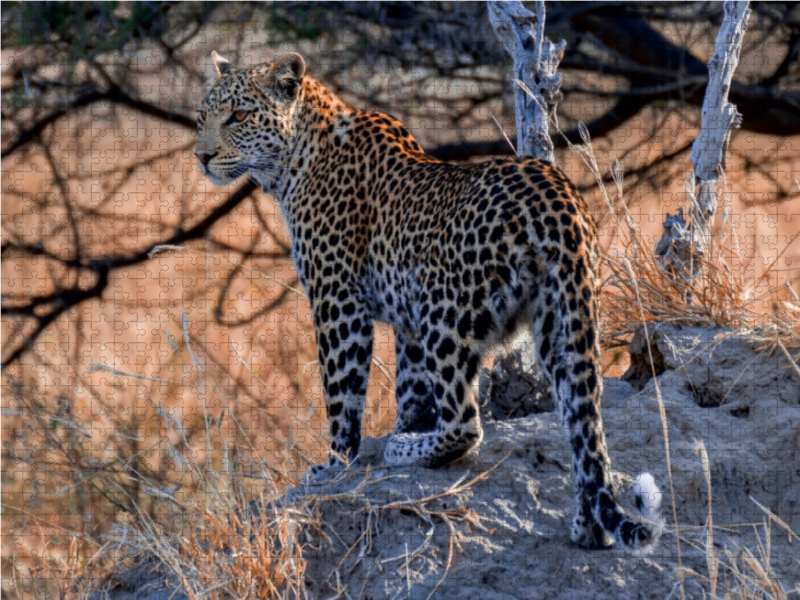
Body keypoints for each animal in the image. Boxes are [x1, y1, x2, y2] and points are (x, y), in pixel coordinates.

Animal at [195, 51, 664, 548]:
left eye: (238, 116)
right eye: (202, 117)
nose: (201, 157)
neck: (292, 163)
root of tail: (558, 200)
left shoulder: (338, 299)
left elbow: (341, 392)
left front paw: (336, 463)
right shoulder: (407, 321)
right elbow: (411, 385)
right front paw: (406, 426)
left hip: (447, 311)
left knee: (465, 422)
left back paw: (405, 452)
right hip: (565, 319)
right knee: (583, 422)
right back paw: (587, 525)